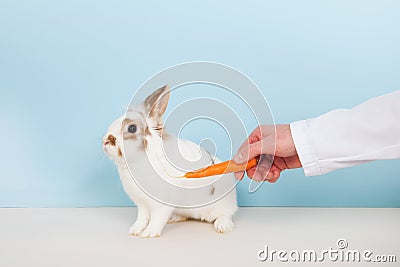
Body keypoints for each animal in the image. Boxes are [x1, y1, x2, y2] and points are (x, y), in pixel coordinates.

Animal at [103, 86, 239, 239]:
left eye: (132, 128)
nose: (105, 140)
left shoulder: (161, 205)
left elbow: (157, 218)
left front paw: (149, 233)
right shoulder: (142, 204)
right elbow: (142, 218)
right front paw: (135, 230)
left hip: (224, 206)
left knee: (227, 214)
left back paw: (223, 226)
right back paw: (175, 218)